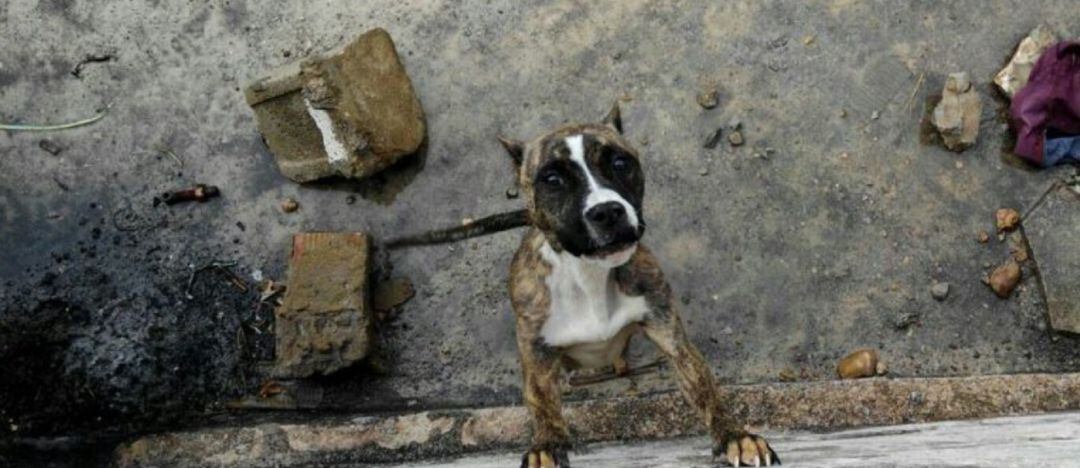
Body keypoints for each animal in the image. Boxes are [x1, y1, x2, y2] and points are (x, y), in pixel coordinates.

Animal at [501, 103, 781, 464]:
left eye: (620, 163)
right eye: (552, 179)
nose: (607, 211)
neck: (590, 274)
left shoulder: (671, 336)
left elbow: (704, 387)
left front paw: (735, 436)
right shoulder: (537, 355)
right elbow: (542, 406)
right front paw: (546, 447)